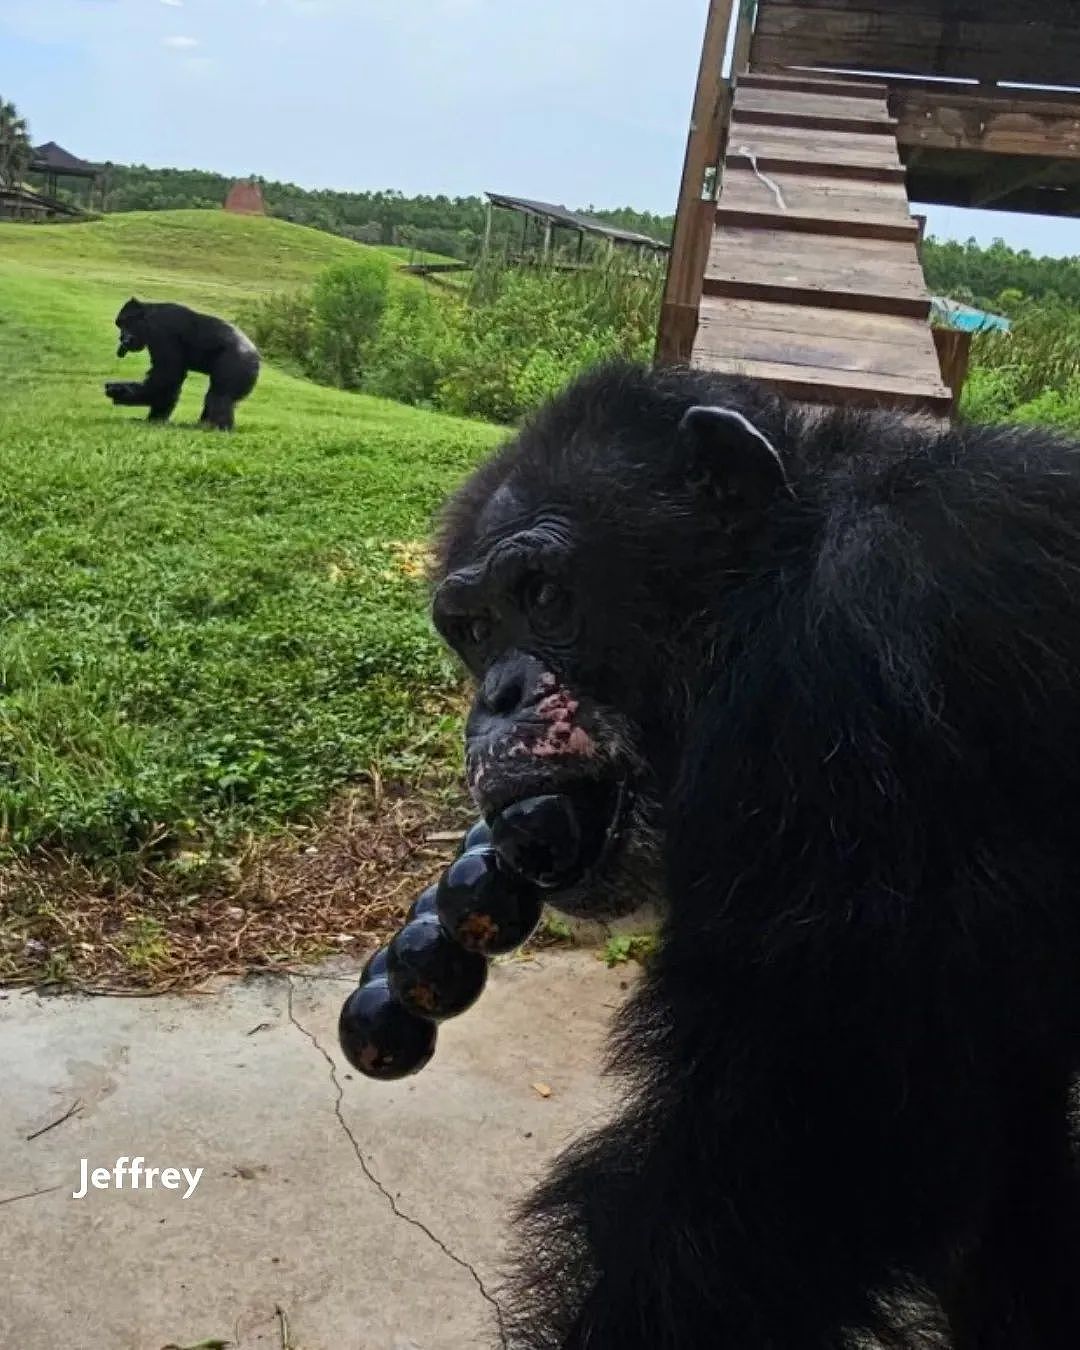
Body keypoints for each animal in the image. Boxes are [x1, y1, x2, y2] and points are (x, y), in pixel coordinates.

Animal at [102, 298, 259, 429]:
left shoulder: (161, 331)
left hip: (238, 363)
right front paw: (155, 419)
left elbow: (167, 376)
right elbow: (171, 383)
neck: (148, 317)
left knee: (219, 396)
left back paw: (216, 427)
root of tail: (256, 356)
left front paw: (121, 392)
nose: (121, 336)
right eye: (120, 325)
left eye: (125, 323)